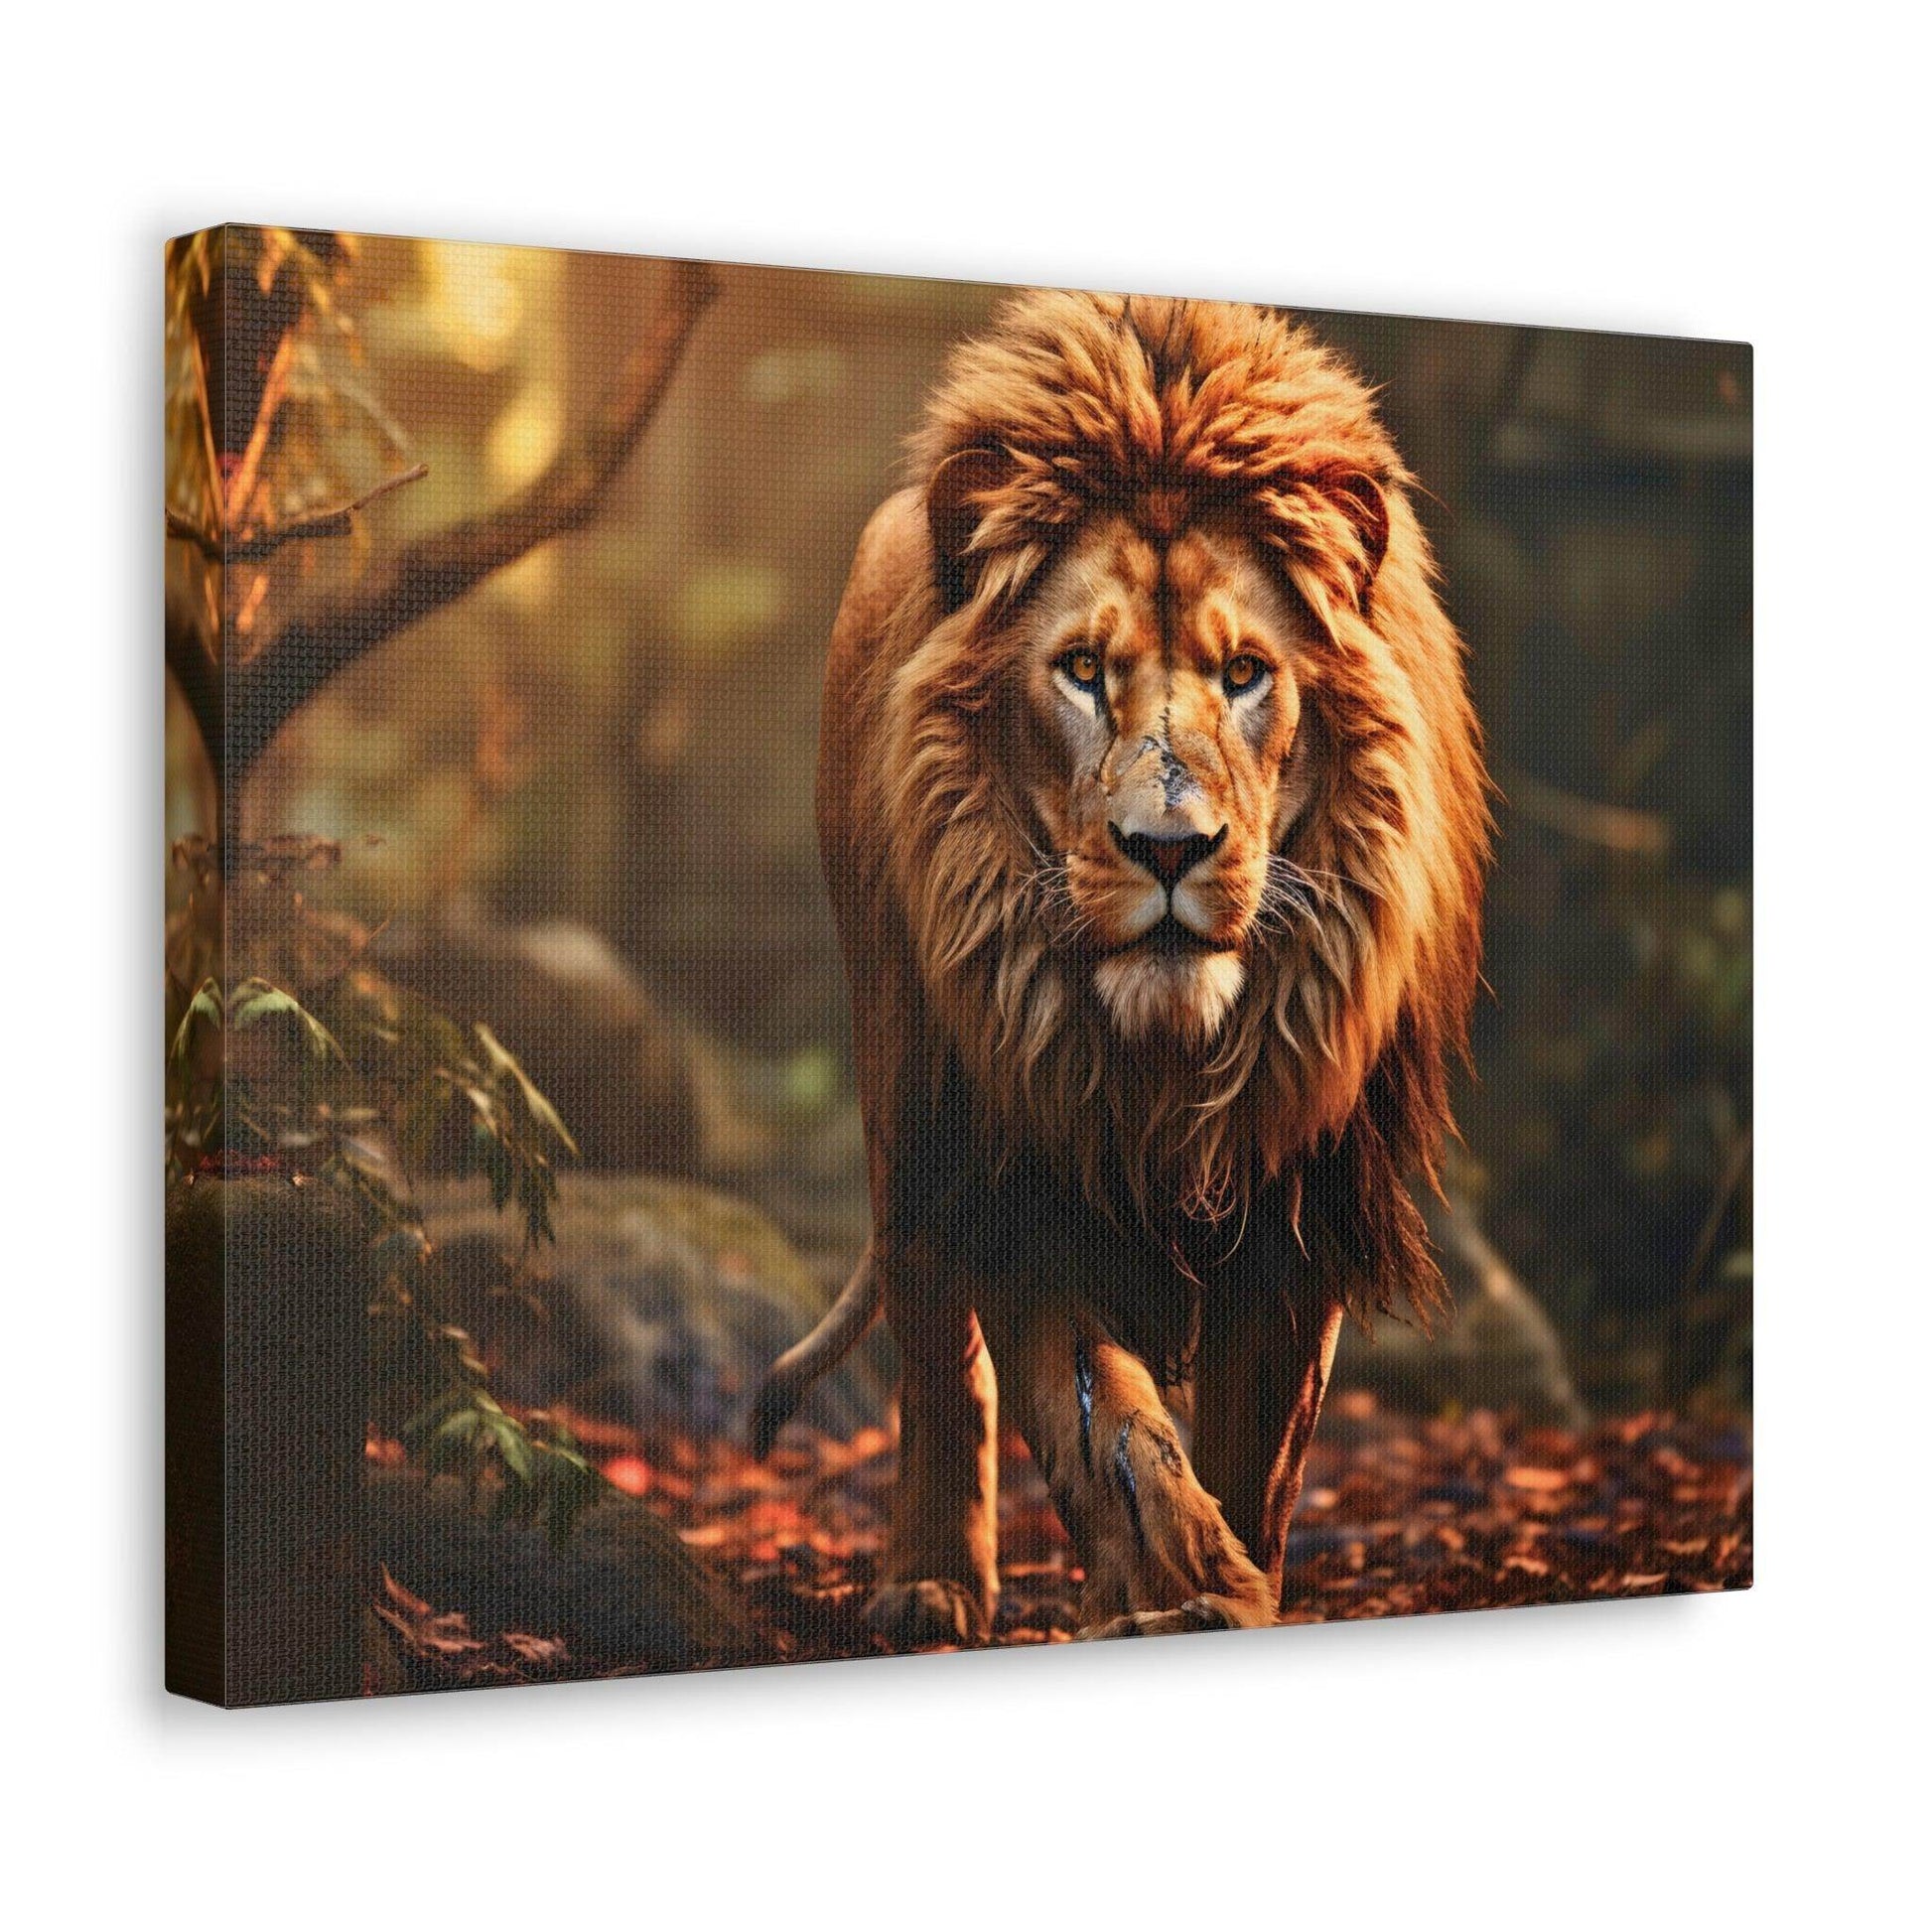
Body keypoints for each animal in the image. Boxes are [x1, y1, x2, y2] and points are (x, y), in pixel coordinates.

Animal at [750, 291, 1490, 1646]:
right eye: (1082, 670)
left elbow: (1256, 1452)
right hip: (906, 1090)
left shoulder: (1297, 1205)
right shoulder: (1019, 1172)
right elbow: (1106, 1428)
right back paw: (930, 1581)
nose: (1167, 847)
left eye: (1245, 673)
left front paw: (1227, 1584)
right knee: (936, 1353)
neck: (1169, 1060)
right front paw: (1177, 1584)